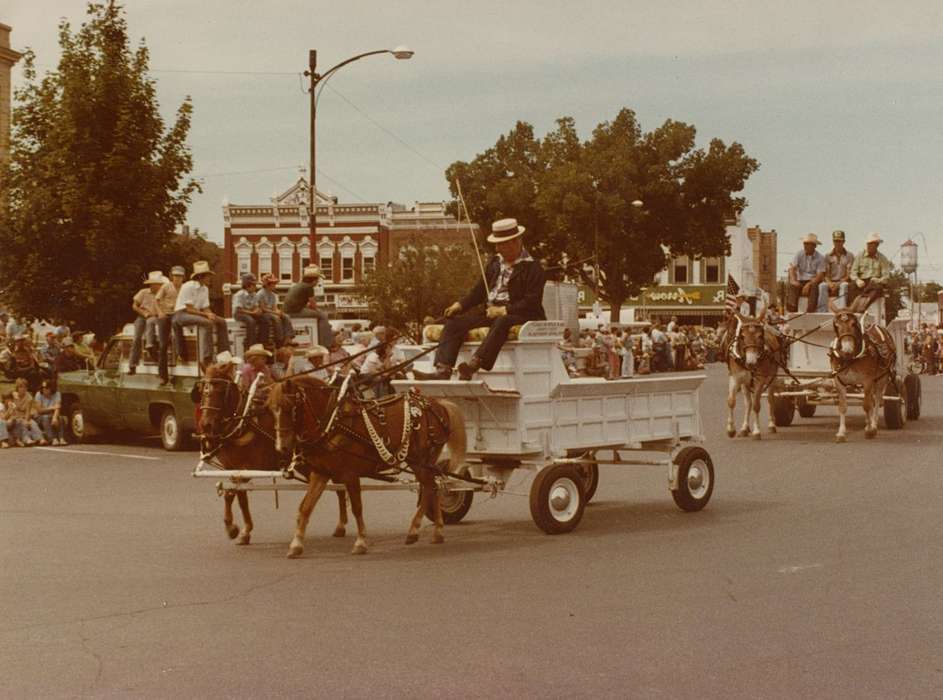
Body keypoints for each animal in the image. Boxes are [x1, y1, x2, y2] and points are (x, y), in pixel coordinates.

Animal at [199, 364, 350, 548]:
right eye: (202, 391)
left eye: (221, 391)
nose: (206, 425)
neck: (242, 423)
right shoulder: (233, 468)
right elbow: (240, 497)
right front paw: (243, 531)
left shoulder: (251, 467)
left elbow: (231, 493)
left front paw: (233, 528)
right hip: (306, 465)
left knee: (340, 489)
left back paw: (341, 525)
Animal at [268, 374, 466, 560]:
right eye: (270, 409)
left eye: (289, 407)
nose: (281, 447)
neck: (333, 422)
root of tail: (437, 403)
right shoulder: (320, 473)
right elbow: (305, 507)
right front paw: (296, 545)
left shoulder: (350, 474)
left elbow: (357, 508)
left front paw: (361, 542)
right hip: (426, 462)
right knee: (433, 486)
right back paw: (437, 531)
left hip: (420, 461)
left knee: (428, 486)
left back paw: (414, 530)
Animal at [728, 310, 784, 440]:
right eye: (742, 336)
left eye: (759, 336)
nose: (751, 362)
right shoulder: (735, 378)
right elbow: (731, 401)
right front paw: (731, 429)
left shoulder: (760, 380)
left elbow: (756, 405)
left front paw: (756, 431)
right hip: (745, 384)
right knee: (748, 403)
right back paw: (744, 428)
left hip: (771, 379)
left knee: (770, 399)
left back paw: (771, 425)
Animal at [828, 302, 896, 442]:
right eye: (836, 325)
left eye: (853, 323)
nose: (847, 349)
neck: (851, 358)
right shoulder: (839, 382)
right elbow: (842, 407)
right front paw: (841, 433)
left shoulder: (867, 381)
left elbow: (866, 405)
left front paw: (870, 430)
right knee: (872, 400)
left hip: (881, 378)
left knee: (877, 400)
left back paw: (873, 424)